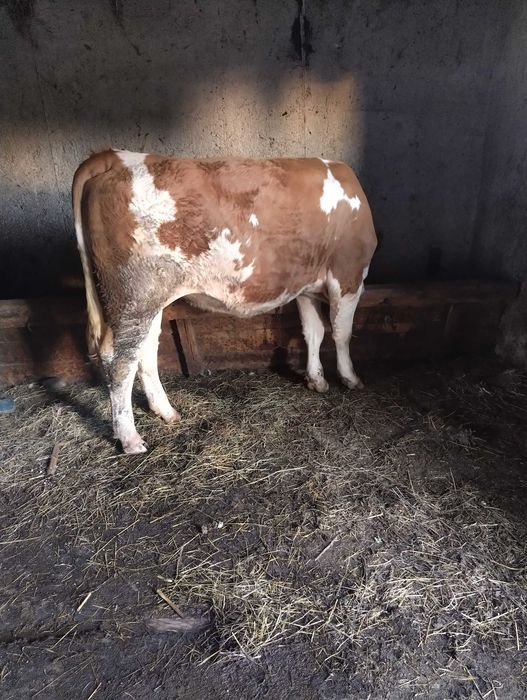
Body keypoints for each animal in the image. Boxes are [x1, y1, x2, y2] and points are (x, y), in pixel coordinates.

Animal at [72, 150, 377, 453]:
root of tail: (115, 156)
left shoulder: (305, 287)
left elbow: (314, 332)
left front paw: (317, 379)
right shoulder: (349, 275)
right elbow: (342, 333)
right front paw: (350, 377)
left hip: (149, 299)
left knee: (145, 352)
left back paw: (166, 411)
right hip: (133, 295)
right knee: (120, 362)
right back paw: (130, 439)